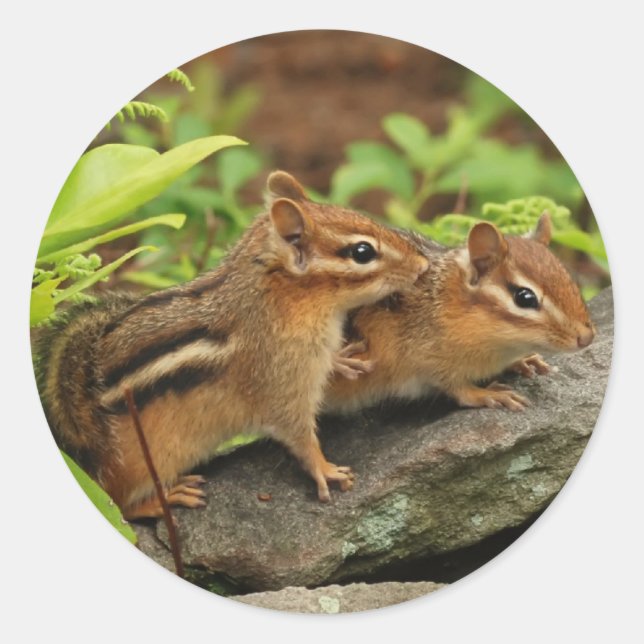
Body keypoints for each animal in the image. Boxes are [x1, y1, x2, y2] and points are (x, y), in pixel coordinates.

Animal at [33, 171, 429, 519]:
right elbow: (297, 433)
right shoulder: (281, 380)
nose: (423, 264)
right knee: (120, 505)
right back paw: (163, 500)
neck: (282, 297)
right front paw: (325, 469)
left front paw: (342, 360)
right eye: (362, 252)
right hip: (140, 467)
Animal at [324, 213, 596, 414]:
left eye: (569, 277)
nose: (587, 337)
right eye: (524, 297)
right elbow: (457, 389)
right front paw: (485, 393)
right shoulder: (421, 358)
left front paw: (524, 360)